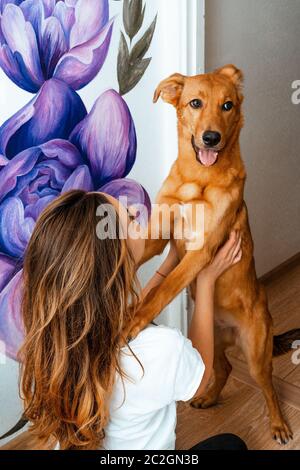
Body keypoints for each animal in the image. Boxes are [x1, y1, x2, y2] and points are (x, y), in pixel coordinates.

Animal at [129, 64, 300, 442]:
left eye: (227, 105)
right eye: (195, 103)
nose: (211, 138)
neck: (198, 179)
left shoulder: (201, 250)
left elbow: (162, 290)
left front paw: (133, 320)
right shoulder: (160, 236)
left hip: (257, 353)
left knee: (268, 387)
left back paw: (279, 424)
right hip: (217, 340)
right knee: (223, 368)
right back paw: (208, 398)